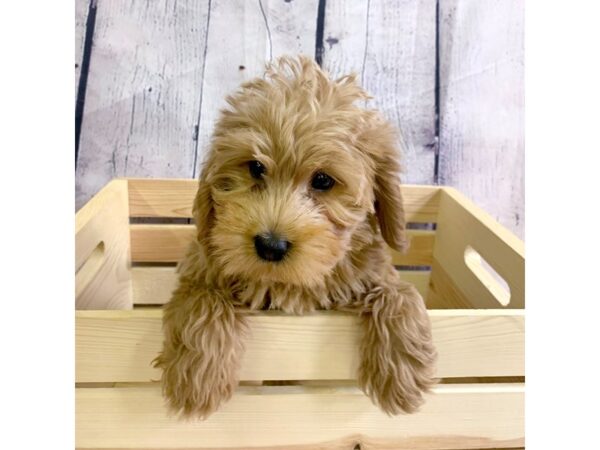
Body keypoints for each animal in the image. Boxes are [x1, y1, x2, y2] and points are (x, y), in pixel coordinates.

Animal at [154, 55, 436, 418]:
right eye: (255, 168)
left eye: (323, 180)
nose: (271, 245)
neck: (287, 283)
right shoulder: (201, 266)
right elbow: (203, 297)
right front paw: (197, 378)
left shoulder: (371, 272)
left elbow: (399, 292)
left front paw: (403, 372)